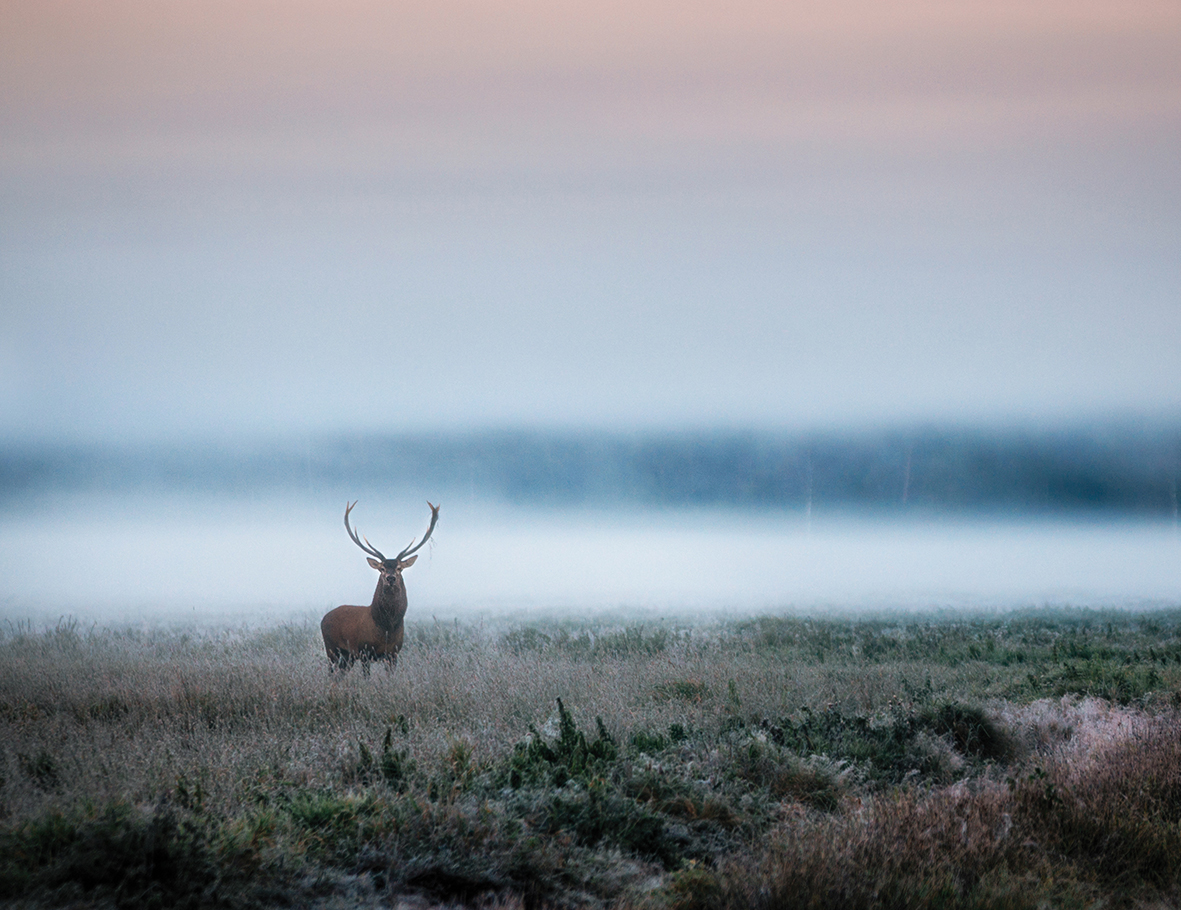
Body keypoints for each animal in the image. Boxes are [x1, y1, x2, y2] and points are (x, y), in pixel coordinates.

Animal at [318, 502, 439, 670]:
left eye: (399, 568)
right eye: (382, 568)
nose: (390, 578)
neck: (386, 628)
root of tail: (324, 618)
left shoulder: (394, 653)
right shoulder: (364, 651)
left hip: (348, 656)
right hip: (331, 648)